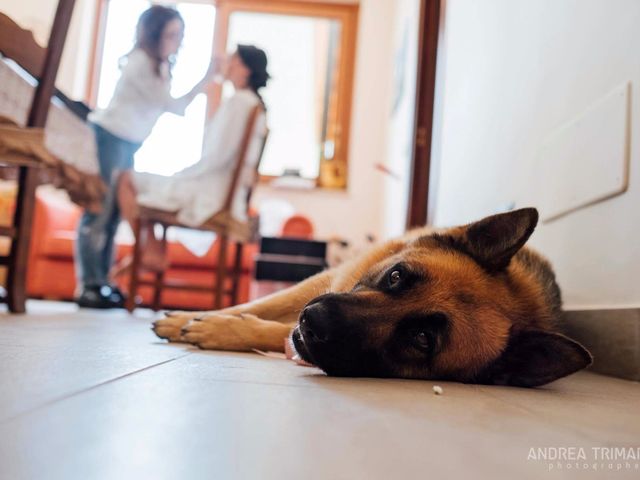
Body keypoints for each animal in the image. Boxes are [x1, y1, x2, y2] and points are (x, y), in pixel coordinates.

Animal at [152, 208, 592, 388]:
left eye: (422, 339)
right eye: (396, 276)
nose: (313, 319)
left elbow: (271, 329)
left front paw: (221, 330)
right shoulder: (325, 280)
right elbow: (256, 306)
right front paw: (196, 318)